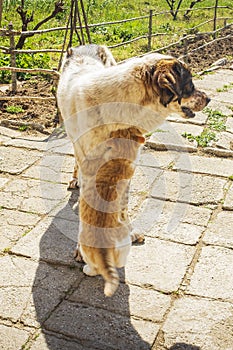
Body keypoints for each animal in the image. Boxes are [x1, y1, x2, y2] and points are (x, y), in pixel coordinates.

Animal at [57, 43, 210, 296]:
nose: (208, 98)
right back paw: (74, 180)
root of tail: (86, 45)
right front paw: (84, 247)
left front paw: (127, 230)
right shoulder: (91, 166)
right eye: (190, 85)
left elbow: (122, 204)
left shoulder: (126, 168)